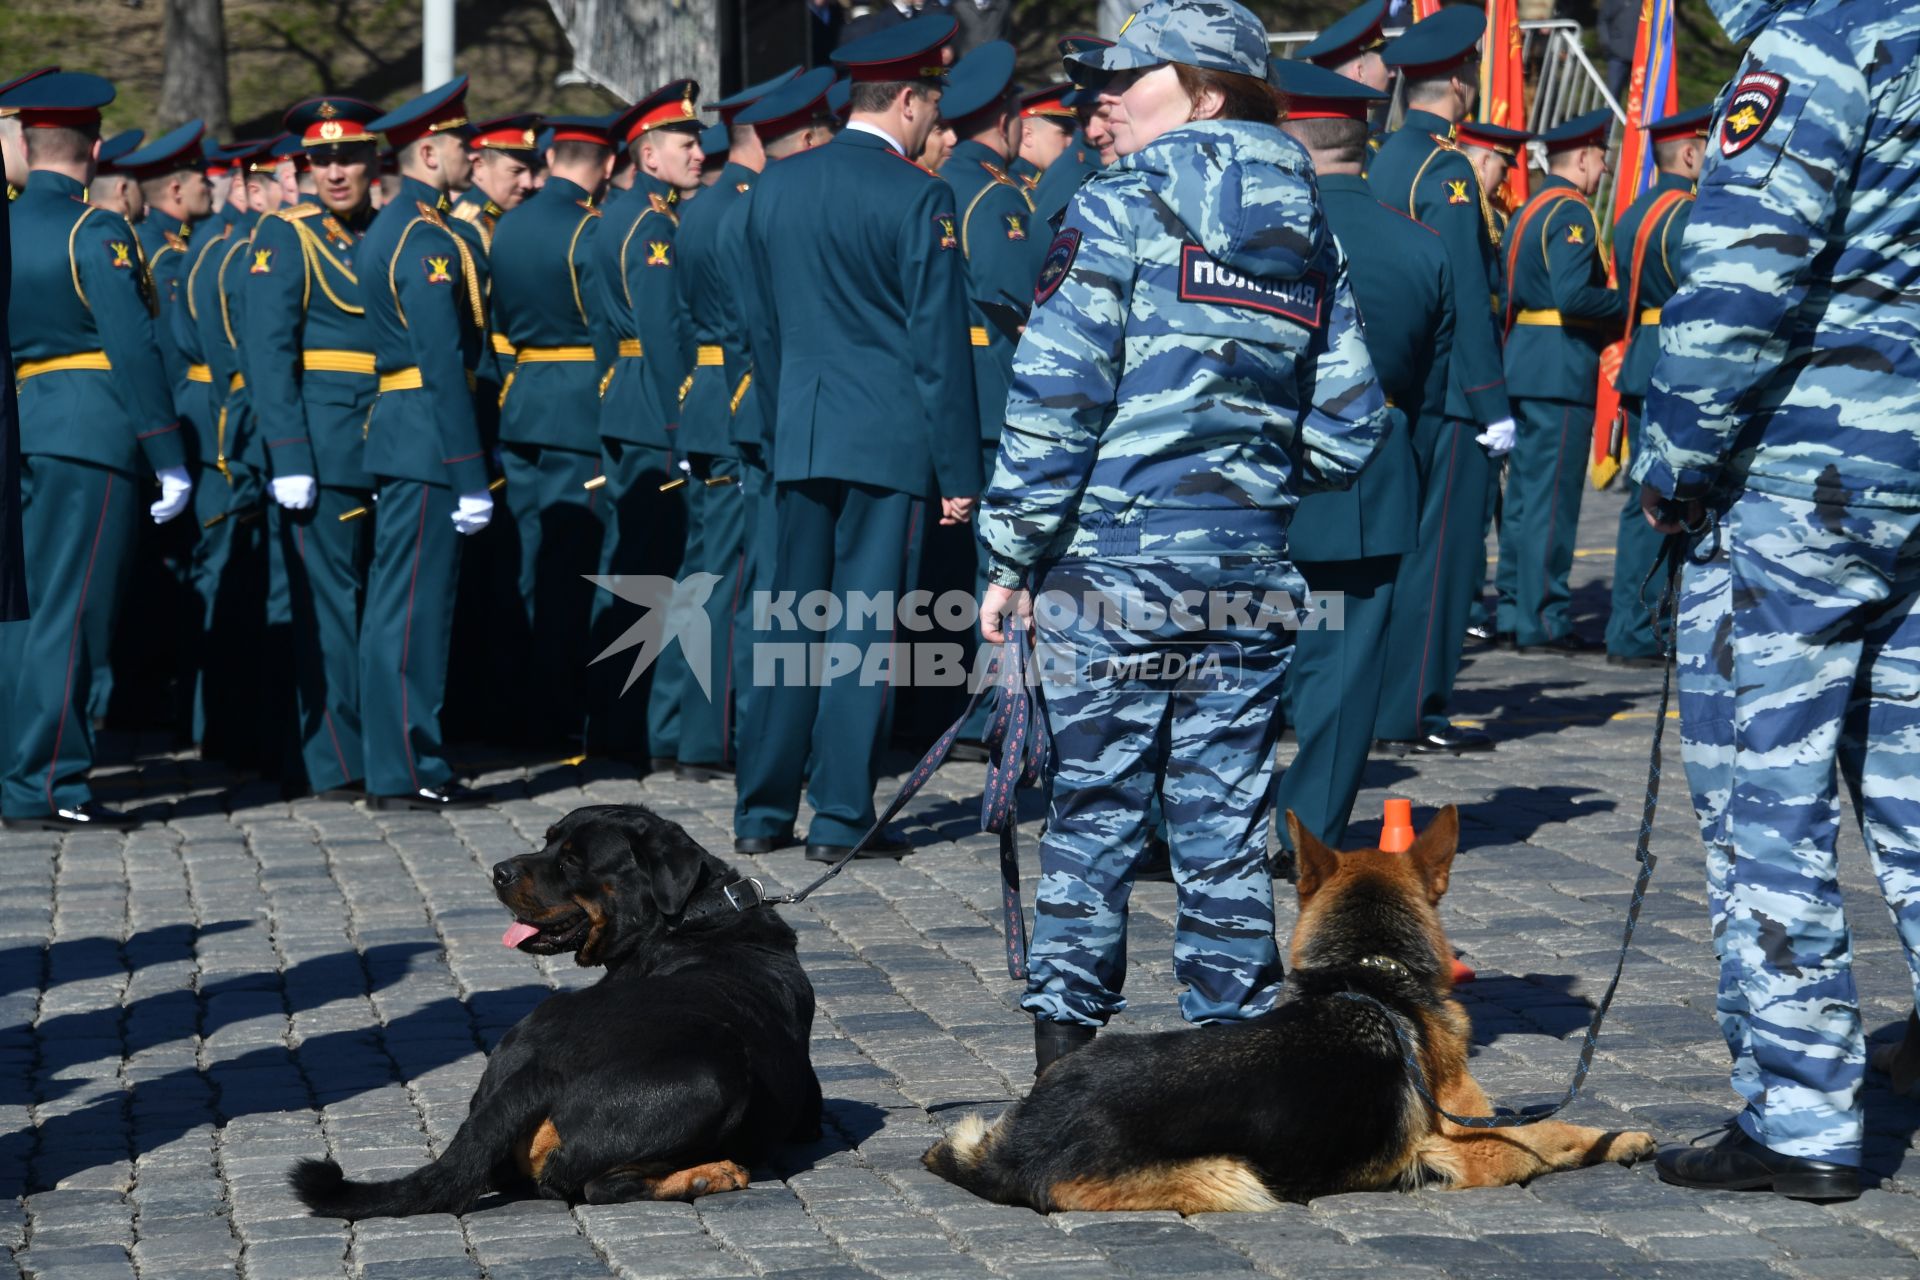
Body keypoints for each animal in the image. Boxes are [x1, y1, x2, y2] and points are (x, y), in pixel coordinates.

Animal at [289, 805, 817, 1220]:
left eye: (570, 860)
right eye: (548, 843)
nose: (499, 871)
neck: (694, 917)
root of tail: (545, 1066)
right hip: (714, 1078)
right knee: (599, 1185)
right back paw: (708, 1174)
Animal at [921, 805, 1658, 1220]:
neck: (1370, 972)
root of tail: (1013, 1151)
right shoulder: (1467, 1146)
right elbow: (1548, 1133)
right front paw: (1621, 1138)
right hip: (1238, 1178)